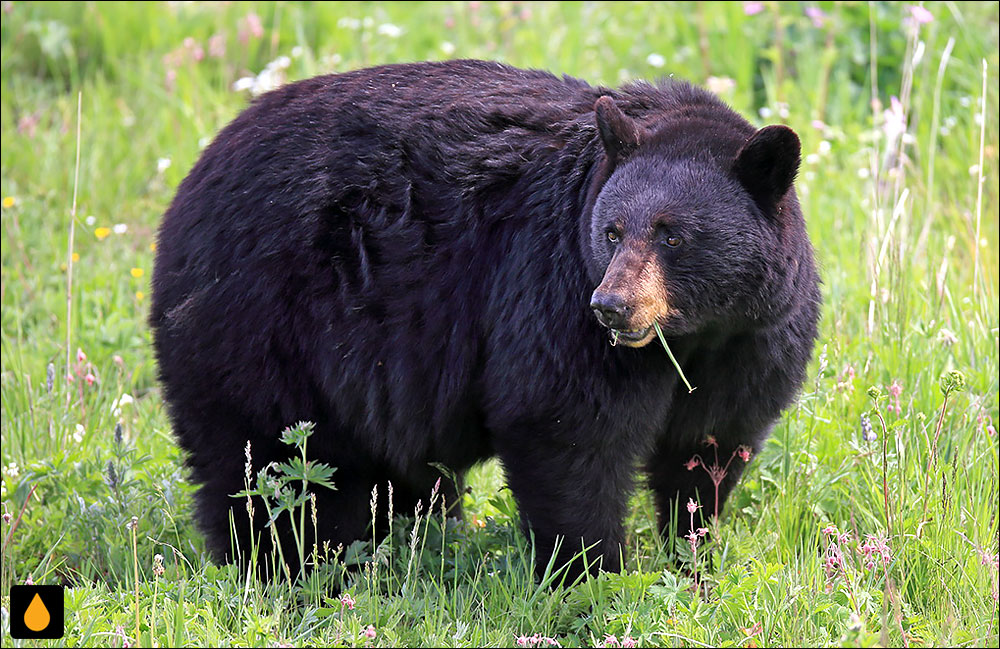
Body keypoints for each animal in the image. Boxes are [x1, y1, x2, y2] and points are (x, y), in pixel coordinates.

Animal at [150, 59, 820, 576]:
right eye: (611, 231)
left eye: (673, 236)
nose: (610, 307)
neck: (691, 336)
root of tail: (189, 184)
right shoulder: (549, 289)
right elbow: (566, 428)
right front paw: (593, 575)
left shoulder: (753, 342)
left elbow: (709, 451)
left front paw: (694, 561)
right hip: (260, 324)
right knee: (268, 467)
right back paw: (286, 571)